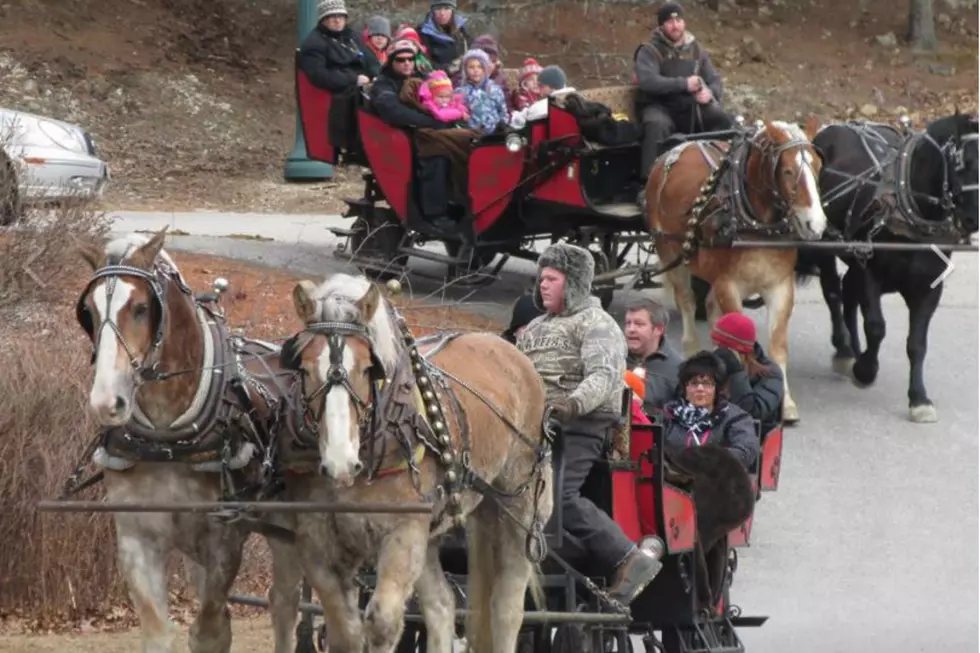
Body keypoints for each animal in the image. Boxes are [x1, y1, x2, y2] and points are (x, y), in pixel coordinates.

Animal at [74, 228, 302, 652]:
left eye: (141, 308)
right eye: (89, 313)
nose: (107, 403)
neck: (168, 441)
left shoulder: (223, 540)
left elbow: (210, 631)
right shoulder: (137, 539)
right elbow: (159, 633)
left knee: (285, 604)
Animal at [276, 272, 556, 652]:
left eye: (368, 368)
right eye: (304, 369)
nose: (340, 463)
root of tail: (510, 350)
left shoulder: (404, 531)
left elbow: (382, 624)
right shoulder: (317, 540)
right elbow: (346, 632)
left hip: (519, 509)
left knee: (506, 608)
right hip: (436, 526)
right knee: (441, 605)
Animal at [648, 117, 832, 422]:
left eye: (818, 166)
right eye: (788, 171)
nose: (815, 224)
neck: (756, 225)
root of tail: (675, 150)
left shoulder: (780, 286)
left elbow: (777, 346)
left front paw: (785, 402)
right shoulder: (728, 284)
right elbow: (741, 345)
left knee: (711, 309)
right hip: (671, 252)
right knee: (686, 301)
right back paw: (691, 348)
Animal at [792, 109, 976, 420]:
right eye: (965, 161)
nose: (973, 218)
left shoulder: (929, 288)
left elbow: (917, 344)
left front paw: (919, 399)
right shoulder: (871, 272)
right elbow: (876, 327)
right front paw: (865, 370)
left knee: (848, 292)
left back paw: (853, 349)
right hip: (824, 241)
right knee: (833, 291)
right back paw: (845, 350)